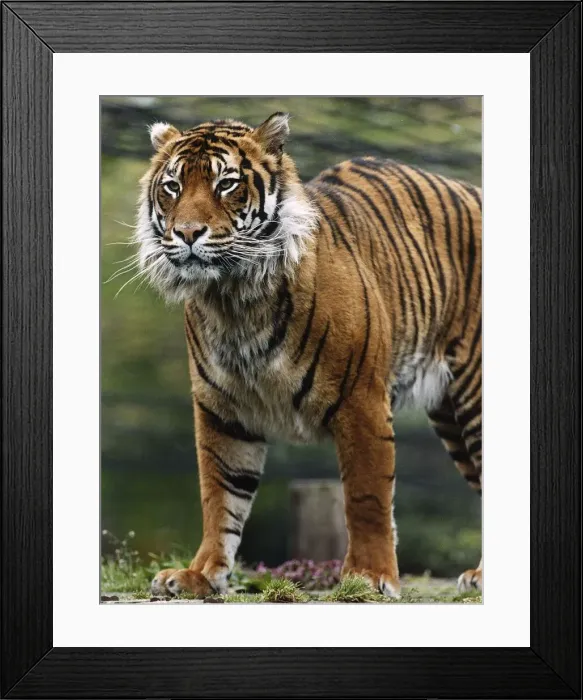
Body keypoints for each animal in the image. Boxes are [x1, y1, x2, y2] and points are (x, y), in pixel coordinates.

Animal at [135, 113, 482, 599]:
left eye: (226, 183)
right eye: (172, 186)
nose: (186, 234)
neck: (234, 297)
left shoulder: (362, 400)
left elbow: (367, 495)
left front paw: (369, 576)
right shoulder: (220, 409)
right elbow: (219, 495)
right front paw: (198, 575)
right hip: (451, 415)